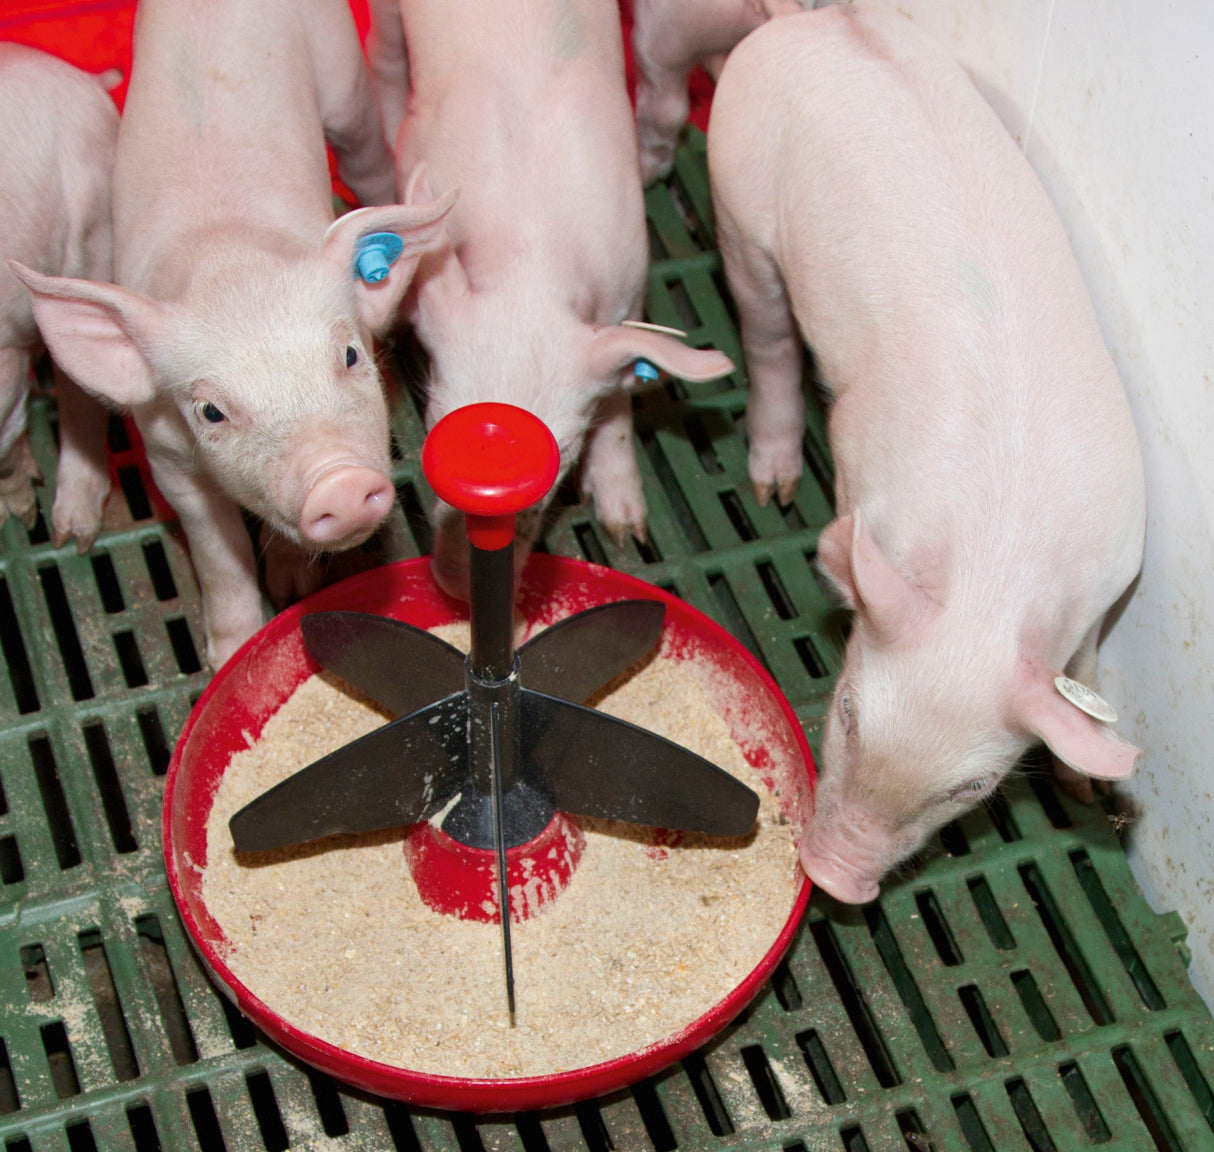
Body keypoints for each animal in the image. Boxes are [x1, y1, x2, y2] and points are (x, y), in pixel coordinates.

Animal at [13, 0, 455, 669]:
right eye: (211, 412)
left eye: (350, 354)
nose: (341, 481)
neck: (227, 255)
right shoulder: (167, 457)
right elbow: (217, 553)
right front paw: (228, 654)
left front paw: (294, 586)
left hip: (342, 77)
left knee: (366, 152)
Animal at [385, 0, 735, 599]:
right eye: (431, 426)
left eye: (564, 455)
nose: (457, 586)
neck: (533, 257)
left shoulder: (627, 279)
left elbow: (619, 396)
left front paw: (626, 527)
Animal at [707, 6, 1146, 903]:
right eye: (846, 710)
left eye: (971, 787)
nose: (836, 878)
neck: (997, 572)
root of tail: (820, 23)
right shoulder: (857, 455)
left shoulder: (1112, 573)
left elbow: (1084, 663)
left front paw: (1087, 788)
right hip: (739, 205)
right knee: (767, 337)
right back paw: (772, 485)